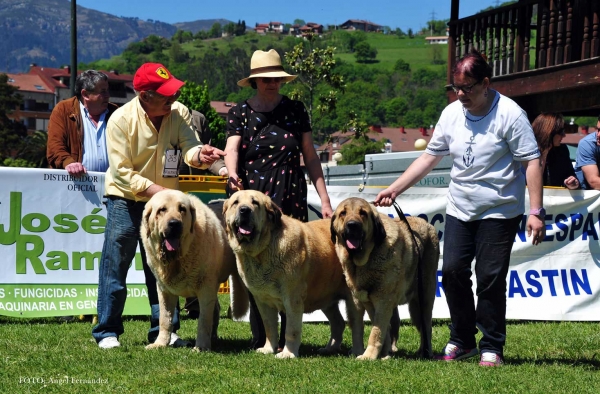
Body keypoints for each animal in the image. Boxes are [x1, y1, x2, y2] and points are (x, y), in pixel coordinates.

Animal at [141, 190, 248, 350]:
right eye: (162, 210)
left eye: (182, 209)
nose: (174, 223)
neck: (178, 259)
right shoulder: (164, 290)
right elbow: (164, 319)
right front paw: (160, 343)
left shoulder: (206, 288)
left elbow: (203, 321)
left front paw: (201, 347)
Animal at [223, 189, 364, 358]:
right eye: (236, 203)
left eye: (255, 203)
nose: (244, 210)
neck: (263, 251)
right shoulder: (262, 301)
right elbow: (269, 327)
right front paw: (268, 349)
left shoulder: (292, 298)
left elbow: (291, 330)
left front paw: (287, 354)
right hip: (326, 297)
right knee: (338, 322)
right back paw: (330, 348)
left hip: (353, 299)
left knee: (356, 325)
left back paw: (357, 352)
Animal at [330, 197, 438, 360]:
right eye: (343, 213)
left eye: (363, 213)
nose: (353, 225)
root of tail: (429, 225)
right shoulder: (370, 303)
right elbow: (382, 330)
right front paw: (384, 354)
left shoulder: (383, 301)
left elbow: (376, 332)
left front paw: (368, 356)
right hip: (414, 307)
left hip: (423, 300)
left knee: (427, 327)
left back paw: (426, 352)